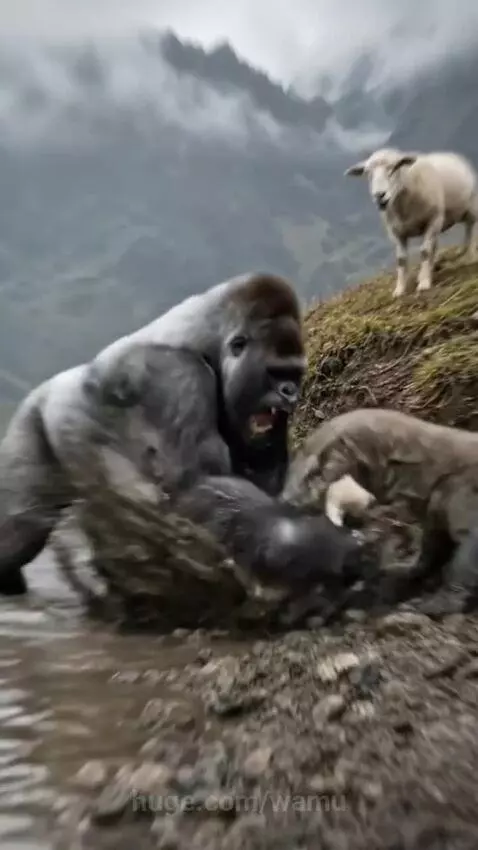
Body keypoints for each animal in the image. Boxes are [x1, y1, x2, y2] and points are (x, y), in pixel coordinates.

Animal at [0, 273, 306, 595]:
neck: (212, 340)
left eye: (294, 374)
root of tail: (50, 388)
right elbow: (194, 481)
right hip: (43, 416)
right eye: (274, 372)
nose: (290, 393)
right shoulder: (181, 375)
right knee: (21, 527)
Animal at [281, 407, 478, 615]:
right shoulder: (434, 514)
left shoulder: (465, 492)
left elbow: (464, 564)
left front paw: (439, 603)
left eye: (313, 473)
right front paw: (405, 569)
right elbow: (430, 550)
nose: (285, 501)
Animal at [345, 148, 478, 297]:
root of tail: (450, 154)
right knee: (435, 245)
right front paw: (400, 289)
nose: (379, 195)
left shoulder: (432, 220)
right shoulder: (396, 232)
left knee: (471, 229)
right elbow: (401, 259)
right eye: (368, 173)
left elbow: (424, 251)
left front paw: (424, 283)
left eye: (394, 168)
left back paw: (470, 257)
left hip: (469, 207)